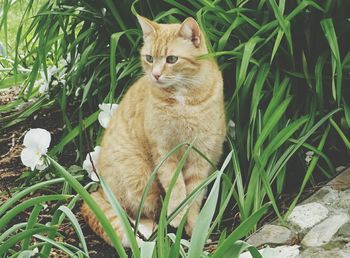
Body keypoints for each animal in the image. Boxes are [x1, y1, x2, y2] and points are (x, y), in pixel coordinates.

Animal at [80, 15, 226, 247]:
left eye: (172, 59)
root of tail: (101, 186)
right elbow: (176, 187)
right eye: (149, 58)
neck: (183, 98)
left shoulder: (201, 155)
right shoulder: (164, 150)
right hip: (139, 177)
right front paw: (178, 215)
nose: (156, 75)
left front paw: (194, 229)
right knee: (130, 210)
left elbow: (194, 196)